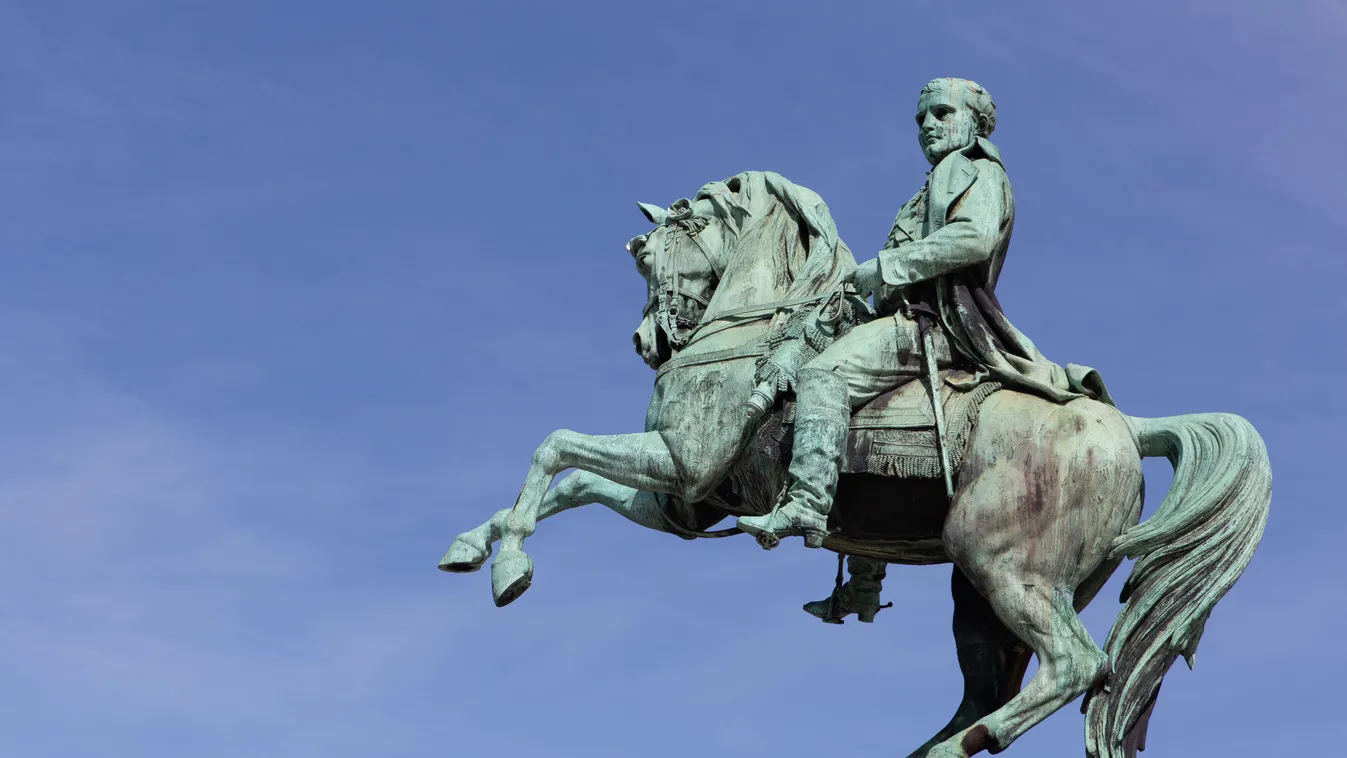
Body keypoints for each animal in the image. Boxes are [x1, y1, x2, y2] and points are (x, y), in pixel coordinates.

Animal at [439, 170, 1260, 758]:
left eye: (649, 253)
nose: (648, 342)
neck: (750, 334)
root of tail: (1123, 425)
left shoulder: (680, 460)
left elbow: (555, 446)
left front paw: (508, 569)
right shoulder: (681, 500)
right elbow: (570, 481)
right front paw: (477, 546)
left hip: (1004, 568)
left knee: (1074, 668)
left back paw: (958, 747)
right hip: (982, 595)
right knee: (993, 684)